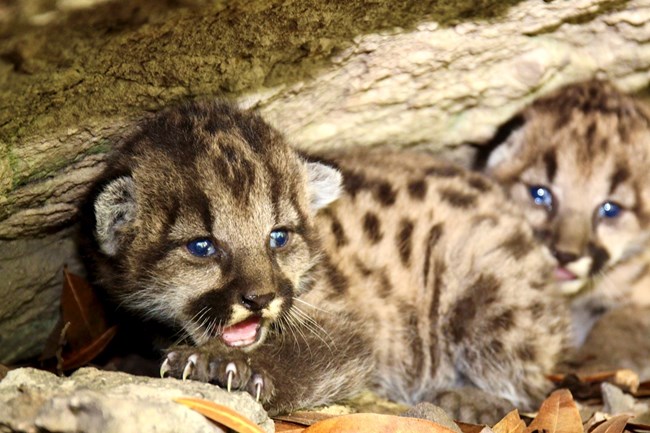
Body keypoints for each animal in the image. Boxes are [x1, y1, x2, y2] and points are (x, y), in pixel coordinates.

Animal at [79, 100, 568, 416]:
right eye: (202, 246)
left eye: (278, 236)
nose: (260, 298)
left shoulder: (350, 329)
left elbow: (306, 355)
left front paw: (223, 366)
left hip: (485, 285)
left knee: (528, 383)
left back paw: (469, 400)